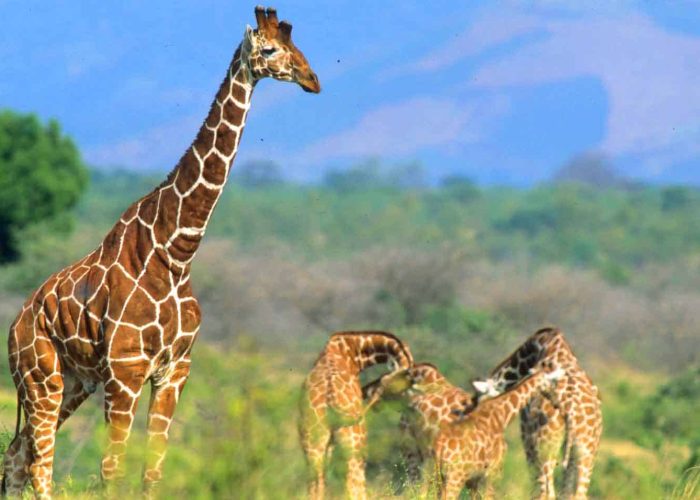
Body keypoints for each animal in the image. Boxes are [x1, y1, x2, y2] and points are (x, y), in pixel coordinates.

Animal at [2, 7, 320, 498]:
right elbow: (111, 468)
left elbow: (153, 469)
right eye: (269, 49)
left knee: (17, 455)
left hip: (73, 381)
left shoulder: (175, 370)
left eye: (298, 46)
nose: (312, 79)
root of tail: (15, 325)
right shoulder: (126, 372)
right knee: (38, 463)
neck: (177, 251)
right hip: (42, 378)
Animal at [298, 331, 414, 500]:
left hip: (313, 442)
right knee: (353, 483)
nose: (367, 393)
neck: (352, 351)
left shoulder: (328, 444)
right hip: (355, 444)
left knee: (315, 484)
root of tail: (330, 398)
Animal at [435, 363, 565, 500]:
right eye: (553, 383)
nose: (557, 403)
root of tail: (441, 448)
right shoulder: (493, 472)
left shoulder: (476, 479)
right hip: (455, 476)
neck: (502, 415)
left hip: (439, 476)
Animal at [471, 327, 603, 499]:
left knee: (547, 492)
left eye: (480, 406)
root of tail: (571, 411)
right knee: (576, 494)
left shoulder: (527, 437)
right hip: (585, 451)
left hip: (545, 447)